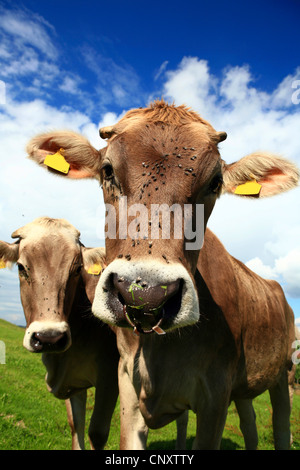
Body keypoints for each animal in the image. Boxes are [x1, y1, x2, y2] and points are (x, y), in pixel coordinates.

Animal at [0, 218, 119, 450]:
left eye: (77, 269)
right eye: (21, 267)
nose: (49, 338)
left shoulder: (110, 377)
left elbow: (97, 433)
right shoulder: (72, 382)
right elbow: (75, 425)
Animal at [25, 101, 298, 450]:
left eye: (215, 182)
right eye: (107, 170)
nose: (146, 293)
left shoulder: (215, 399)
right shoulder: (126, 384)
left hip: (284, 376)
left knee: (281, 427)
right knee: (249, 421)